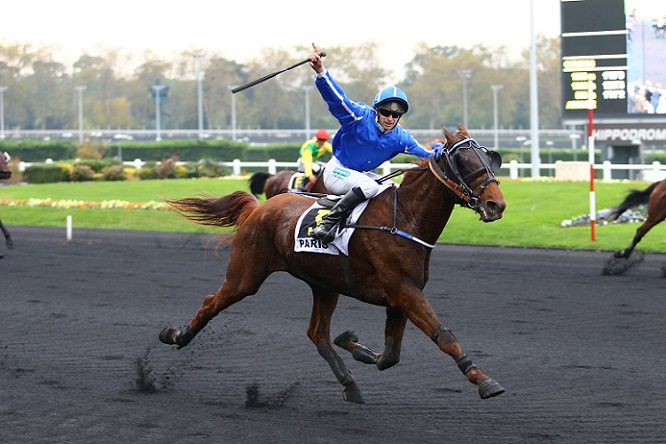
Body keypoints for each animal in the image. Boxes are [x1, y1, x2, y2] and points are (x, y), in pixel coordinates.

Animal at [160, 125, 504, 402]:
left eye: (490, 159)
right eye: (464, 161)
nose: (496, 205)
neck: (404, 218)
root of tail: (256, 209)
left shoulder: (401, 296)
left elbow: (390, 356)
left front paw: (353, 343)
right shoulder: (404, 291)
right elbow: (442, 335)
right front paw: (484, 380)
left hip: (324, 285)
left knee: (318, 334)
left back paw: (349, 383)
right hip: (246, 274)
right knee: (211, 302)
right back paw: (176, 335)